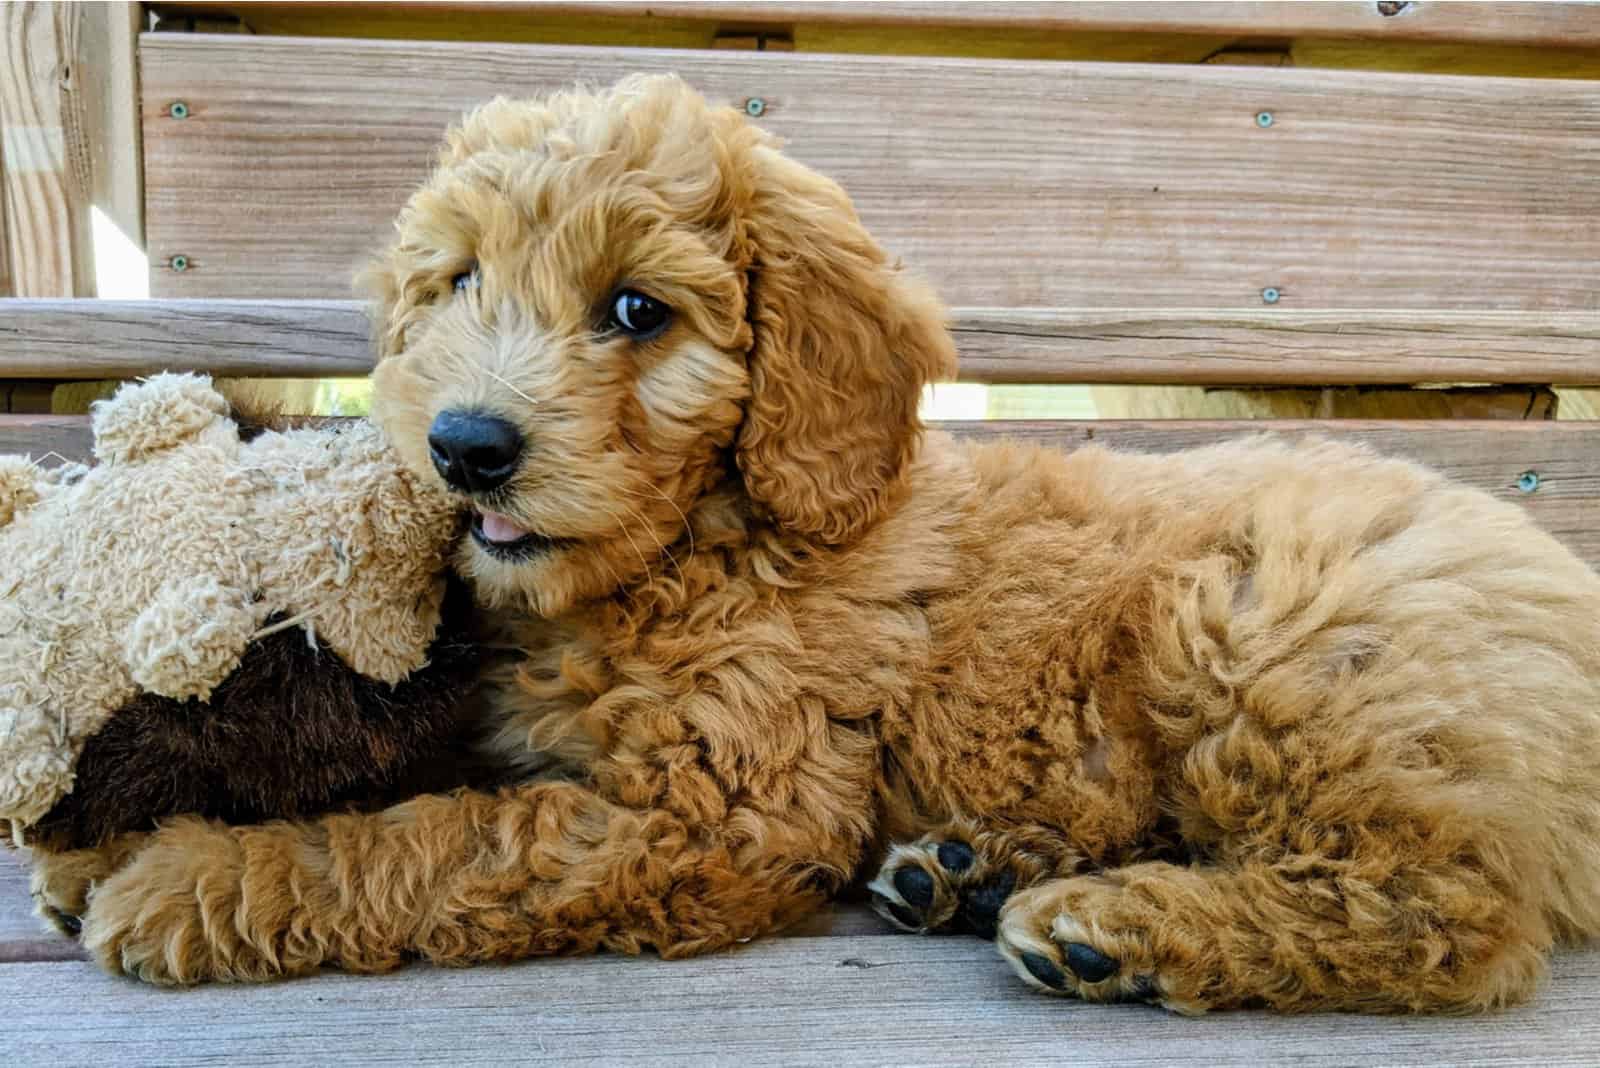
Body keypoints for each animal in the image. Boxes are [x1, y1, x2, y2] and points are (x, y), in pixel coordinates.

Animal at [34, 75, 1600, 1010]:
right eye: (462, 281)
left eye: (636, 310)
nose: (468, 446)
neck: (701, 543)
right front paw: (87, 856)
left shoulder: (718, 810)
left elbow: (437, 839)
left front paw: (190, 879)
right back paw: (960, 874)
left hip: (1263, 639)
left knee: (1448, 912)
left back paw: (1111, 927)